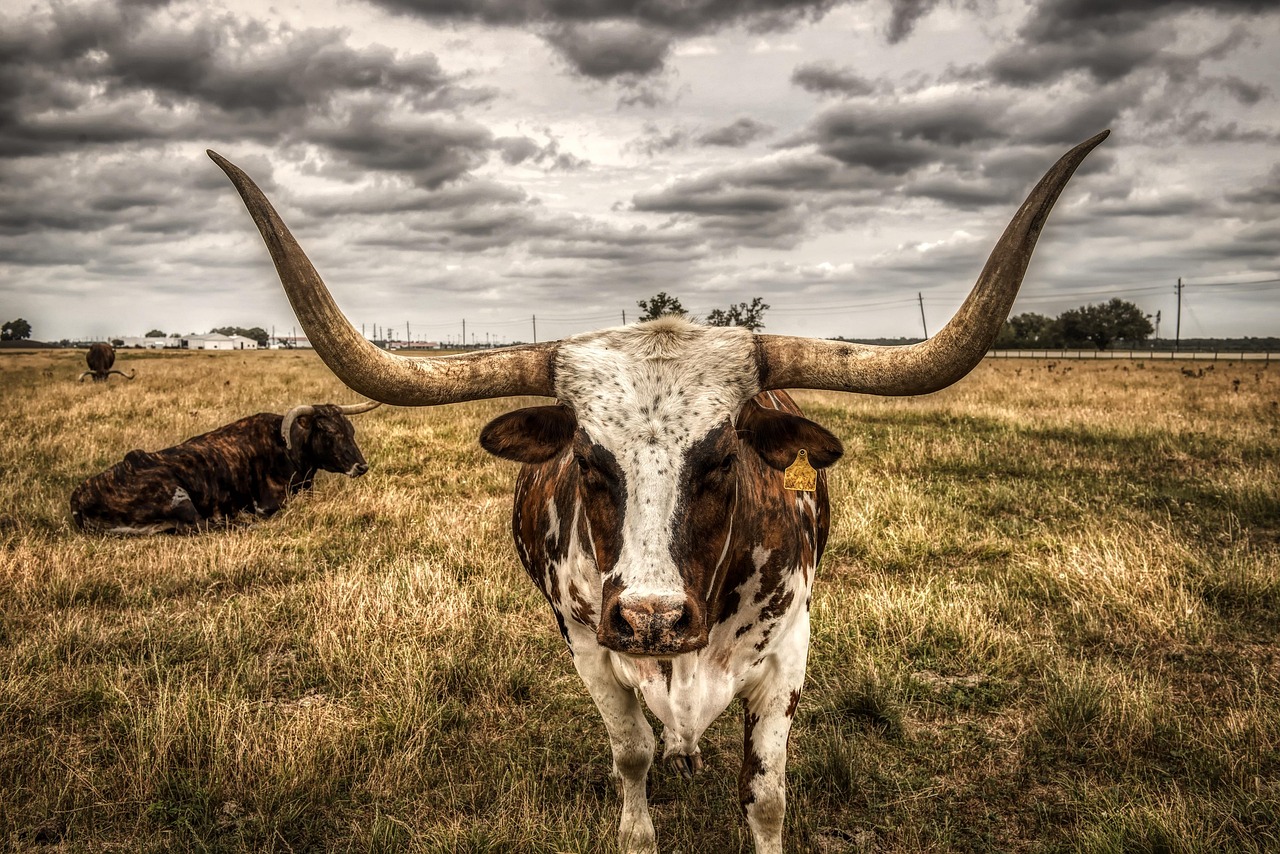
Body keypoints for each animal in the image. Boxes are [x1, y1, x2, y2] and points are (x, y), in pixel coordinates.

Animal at [70, 402, 378, 535]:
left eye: (350, 429)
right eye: (328, 431)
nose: (361, 466)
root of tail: (79, 493)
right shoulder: (269, 504)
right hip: (176, 495)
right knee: (199, 525)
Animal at [209, 131, 1111, 854]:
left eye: (722, 459)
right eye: (587, 459)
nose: (652, 617)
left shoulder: (790, 650)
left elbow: (767, 796)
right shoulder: (587, 642)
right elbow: (631, 754)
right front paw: (638, 826)